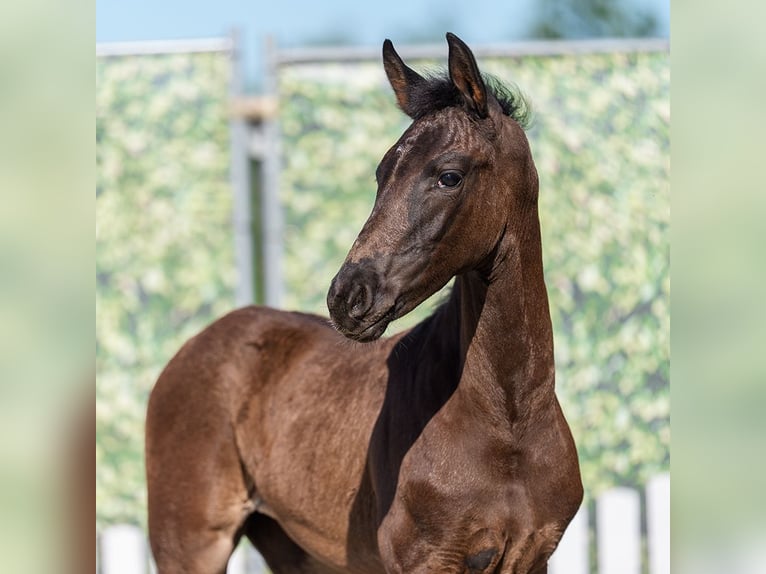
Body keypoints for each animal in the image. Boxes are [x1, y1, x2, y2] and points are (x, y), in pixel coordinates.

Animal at [145, 33, 583, 574]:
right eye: (381, 173)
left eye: (449, 176)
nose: (347, 296)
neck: (510, 420)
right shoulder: (423, 559)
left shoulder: (531, 557)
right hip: (190, 543)